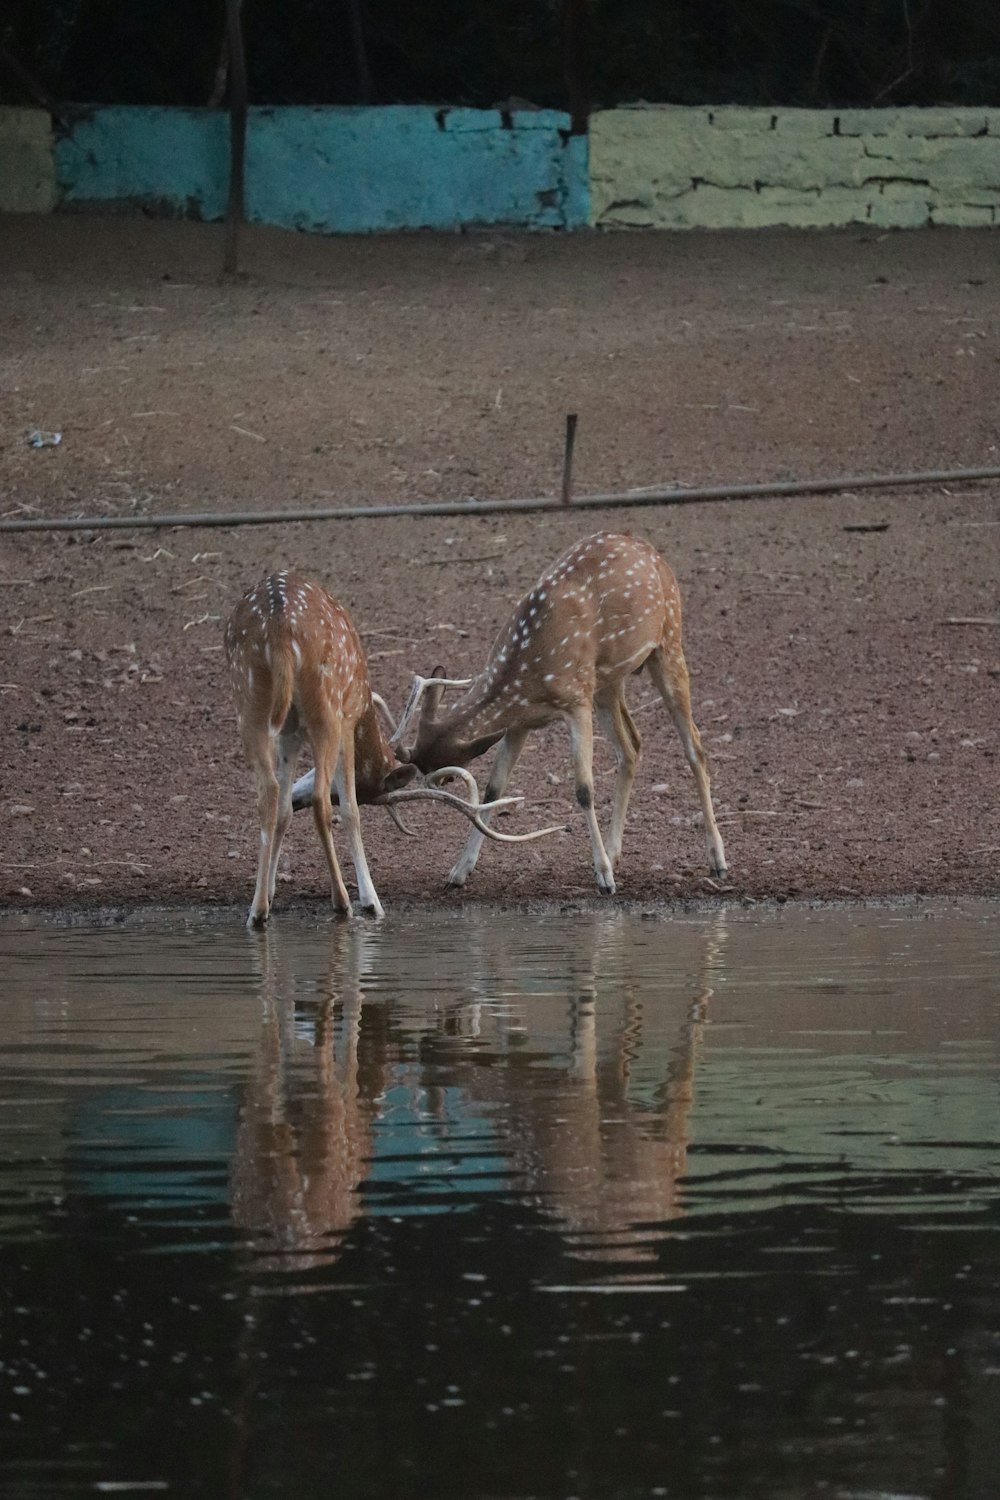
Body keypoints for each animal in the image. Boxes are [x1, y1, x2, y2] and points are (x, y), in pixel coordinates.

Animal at [221, 570, 560, 924]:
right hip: (326, 709)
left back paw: (258, 910)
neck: (365, 712)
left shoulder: (290, 733)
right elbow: (350, 809)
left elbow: (285, 810)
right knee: (319, 802)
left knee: (269, 794)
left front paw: (271, 892)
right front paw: (370, 900)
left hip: (249, 703)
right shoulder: (347, 719)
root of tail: (280, 632)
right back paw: (342, 902)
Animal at [379, 534, 731, 894]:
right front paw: (459, 870)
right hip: (608, 681)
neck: (528, 673)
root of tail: (653, 553)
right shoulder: (520, 722)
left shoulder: (576, 700)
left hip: (668, 643)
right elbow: (494, 788)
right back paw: (615, 852)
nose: (440, 781)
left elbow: (584, 788)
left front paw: (604, 878)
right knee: (631, 746)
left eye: (441, 769)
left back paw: (716, 859)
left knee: (695, 746)